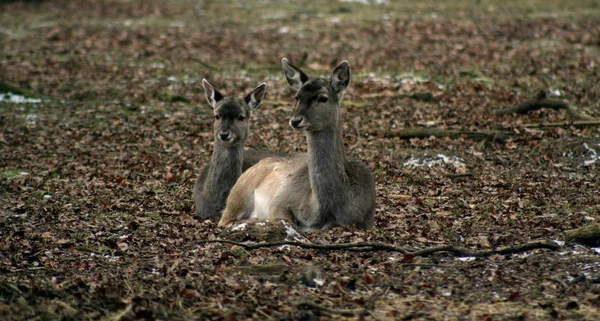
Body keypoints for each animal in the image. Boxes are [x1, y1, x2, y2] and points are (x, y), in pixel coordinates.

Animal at [220, 58, 376, 230]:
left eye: (323, 98)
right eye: (297, 97)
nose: (295, 120)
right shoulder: (280, 201)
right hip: (240, 191)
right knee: (224, 219)